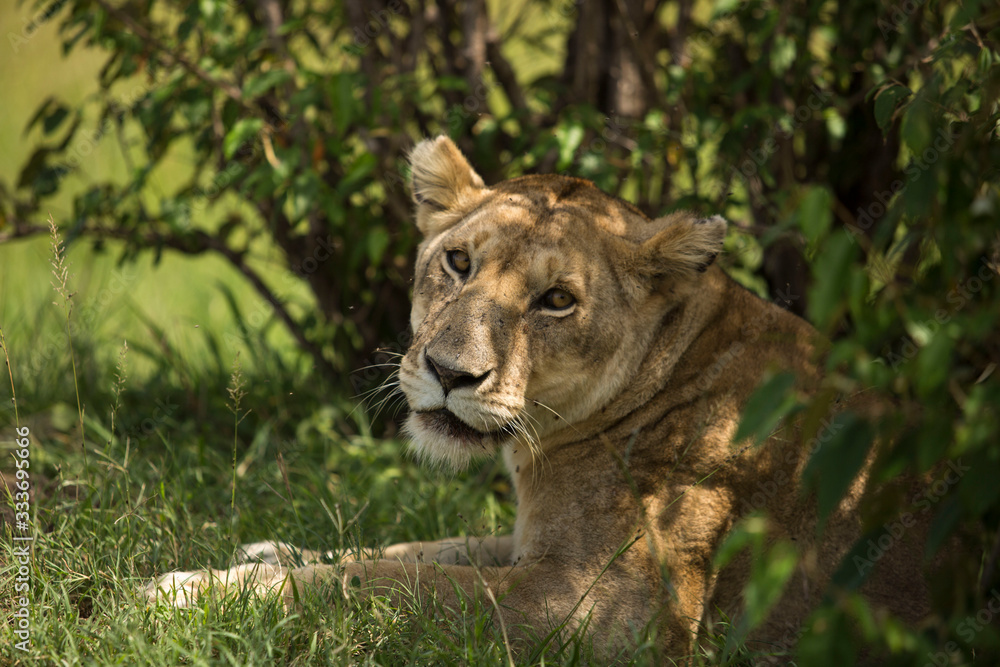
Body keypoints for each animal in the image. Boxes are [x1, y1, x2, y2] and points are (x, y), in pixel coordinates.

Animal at [148, 136, 946, 660]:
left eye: (557, 300)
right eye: (457, 261)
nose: (449, 371)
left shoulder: (607, 609)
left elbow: (393, 582)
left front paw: (194, 593)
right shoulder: (532, 541)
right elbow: (417, 548)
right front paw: (266, 552)